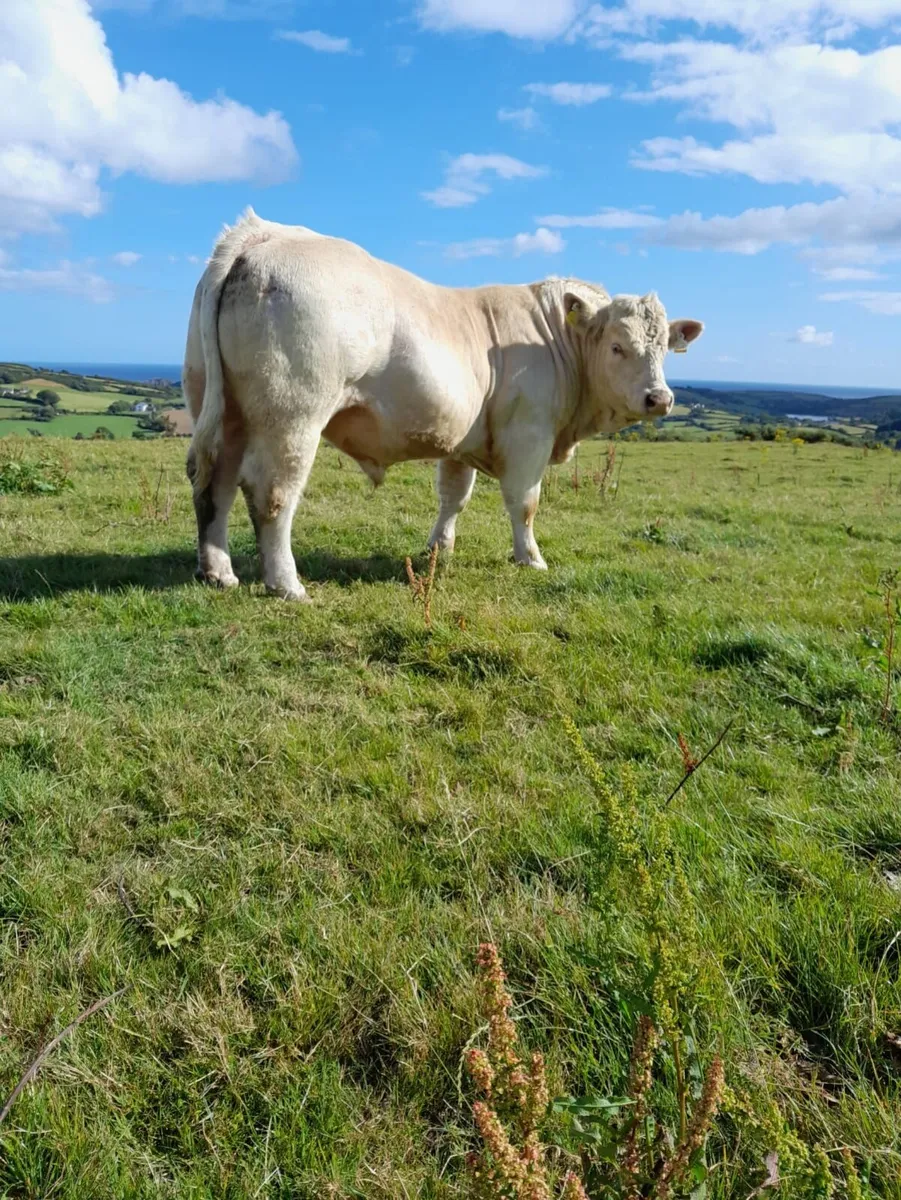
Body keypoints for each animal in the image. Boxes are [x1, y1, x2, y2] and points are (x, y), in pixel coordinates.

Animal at [183, 209, 703, 601]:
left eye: (663, 349)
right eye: (617, 346)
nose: (660, 398)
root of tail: (265, 232)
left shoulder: (463, 438)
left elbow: (454, 496)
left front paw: (439, 551)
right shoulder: (529, 434)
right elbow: (525, 503)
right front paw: (530, 559)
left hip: (222, 407)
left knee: (215, 485)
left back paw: (218, 572)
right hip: (292, 416)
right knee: (270, 493)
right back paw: (287, 584)